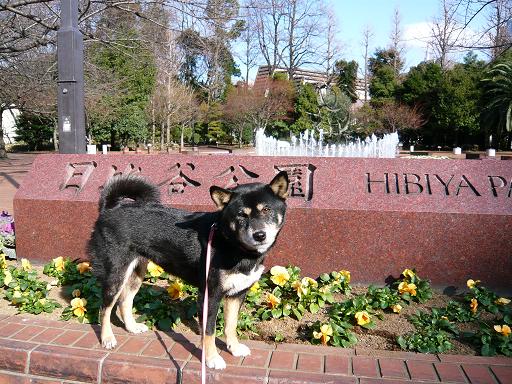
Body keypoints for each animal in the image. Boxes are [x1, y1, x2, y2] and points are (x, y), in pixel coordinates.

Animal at [88, 172, 288, 368]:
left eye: (266, 210)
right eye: (241, 215)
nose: (259, 235)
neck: (232, 244)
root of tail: (109, 209)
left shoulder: (237, 294)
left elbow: (231, 326)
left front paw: (235, 348)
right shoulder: (210, 296)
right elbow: (209, 332)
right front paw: (212, 359)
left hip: (136, 273)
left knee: (124, 301)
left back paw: (132, 327)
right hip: (115, 275)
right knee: (105, 308)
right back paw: (107, 338)